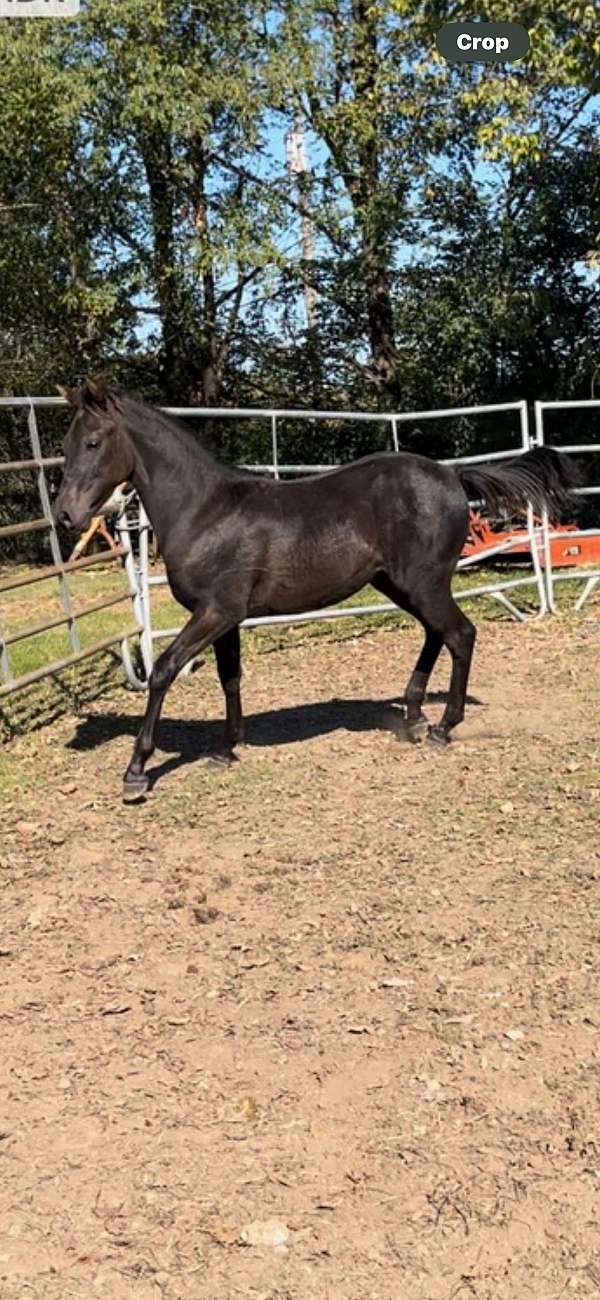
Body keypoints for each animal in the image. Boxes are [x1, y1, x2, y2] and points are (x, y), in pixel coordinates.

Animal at [55, 379, 576, 795]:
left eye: (94, 442)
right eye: (66, 443)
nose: (65, 514)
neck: (204, 512)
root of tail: (451, 474)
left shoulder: (214, 612)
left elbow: (163, 670)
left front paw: (136, 772)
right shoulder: (225, 618)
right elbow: (230, 678)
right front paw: (226, 749)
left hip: (423, 583)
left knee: (460, 634)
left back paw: (443, 727)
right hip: (402, 585)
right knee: (437, 634)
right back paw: (413, 715)